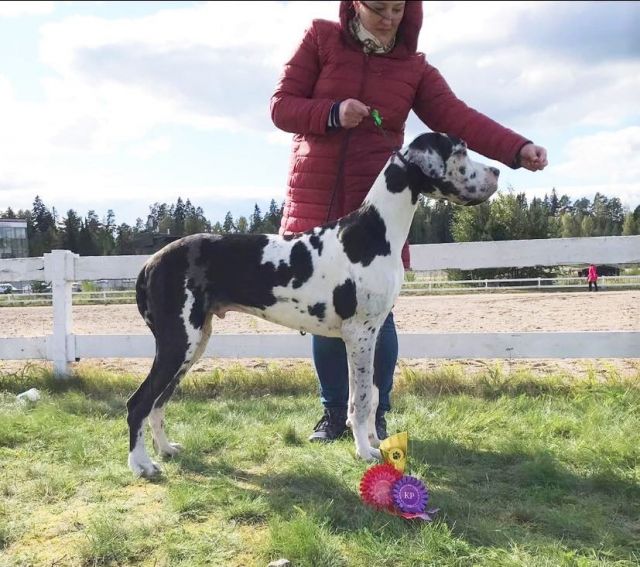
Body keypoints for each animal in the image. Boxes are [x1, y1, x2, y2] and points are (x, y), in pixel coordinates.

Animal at [127, 132, 499, 477]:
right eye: (460, 151)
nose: (496, 171)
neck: (375, 232)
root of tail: (150, 263)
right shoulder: (359, 333)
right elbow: (361, 401)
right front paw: (365, 452)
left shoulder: (372, 333)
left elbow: (370, 392)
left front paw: (375, 442)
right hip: (179, 341)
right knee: (139, 402)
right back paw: (141, 465)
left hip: (194, 343)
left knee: (158, 403)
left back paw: (166, 449)